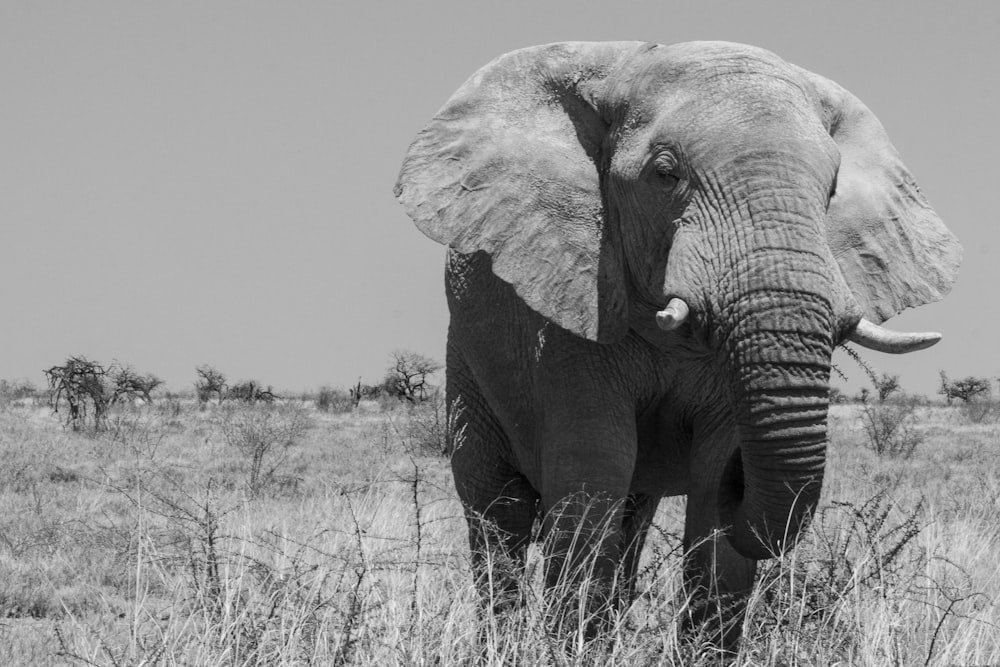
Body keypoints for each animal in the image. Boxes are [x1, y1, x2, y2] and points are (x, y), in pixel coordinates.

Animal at [392, 41, 960, 648]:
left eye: (831, 191)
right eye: (665, 175)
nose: (744, 480)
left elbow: (712, 499)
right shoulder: (575, 306)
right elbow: (595, 467)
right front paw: (569, 647)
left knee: (632, 516)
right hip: (467, 360)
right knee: (499, 509)